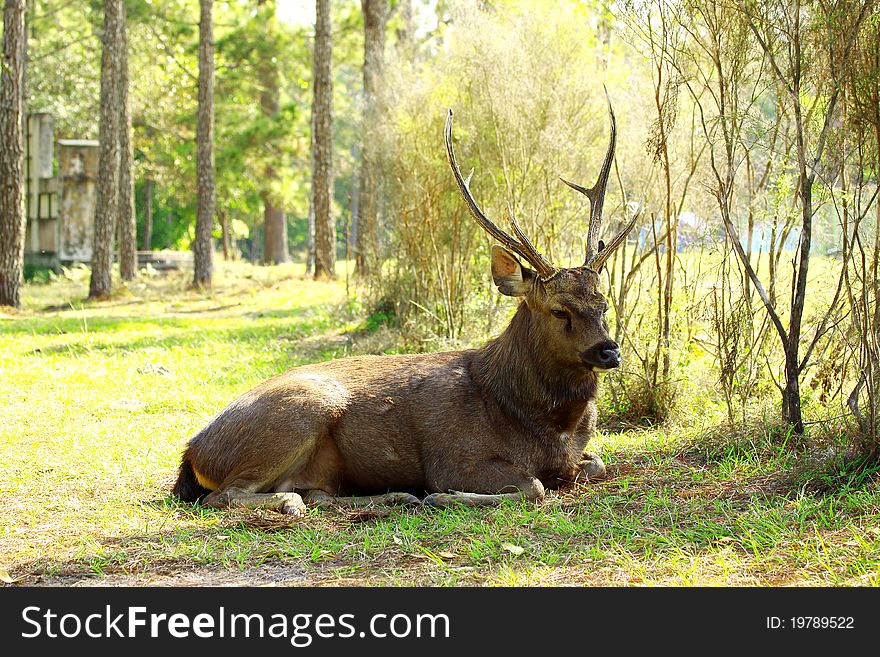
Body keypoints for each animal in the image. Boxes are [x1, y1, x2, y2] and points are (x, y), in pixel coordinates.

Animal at [172, 102, 636, 512]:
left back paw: (392, 498)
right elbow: (533, 486)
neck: (545, 426)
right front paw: (443, 496)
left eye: (603, 304)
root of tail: (192, 451)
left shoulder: (578, 455)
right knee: (224, 495)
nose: (609, 350)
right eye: (559, 310)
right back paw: (306, 502)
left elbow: (597, 462)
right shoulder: (454, 456)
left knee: (316, 493)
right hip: (299, 412)